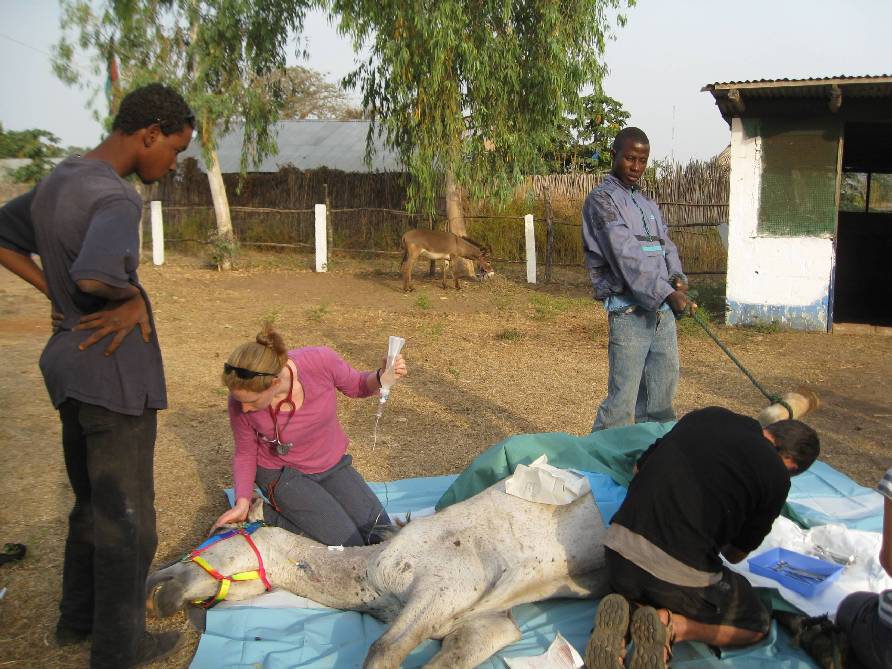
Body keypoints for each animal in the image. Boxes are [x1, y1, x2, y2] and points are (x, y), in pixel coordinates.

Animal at [150, 480, 608, 668]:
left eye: (216, 538)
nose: (159, 591)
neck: (372, 574)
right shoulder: (488, 622)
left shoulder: (446, 586)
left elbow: (382, 651)